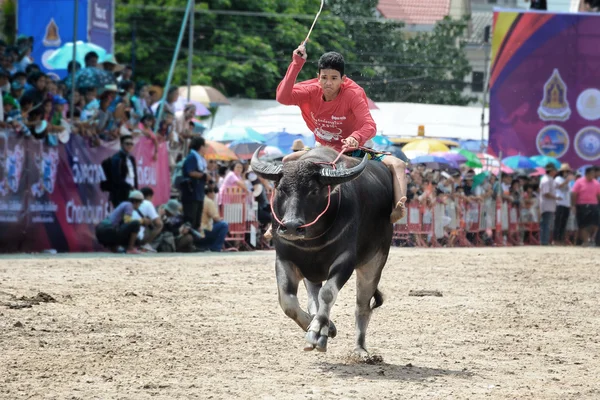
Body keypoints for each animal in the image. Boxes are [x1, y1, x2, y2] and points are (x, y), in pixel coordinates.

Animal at [252, 146, 396, 356]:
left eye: (313, 190)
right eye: (281, 189)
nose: (291, 226)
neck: (312, 240)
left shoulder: (346, 260)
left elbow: (327, 294)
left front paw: (318, 332)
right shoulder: (284, 259)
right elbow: (287, 300)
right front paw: (318, 326)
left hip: (375, 261)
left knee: (362, 305)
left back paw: (360, 349)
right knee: (313, 298)